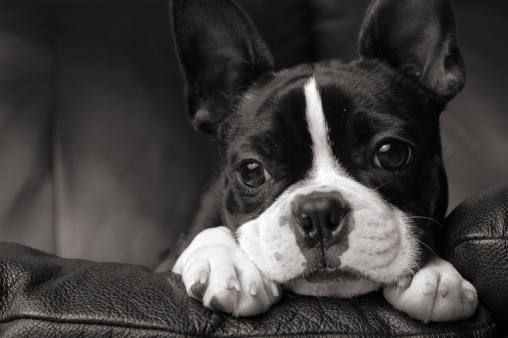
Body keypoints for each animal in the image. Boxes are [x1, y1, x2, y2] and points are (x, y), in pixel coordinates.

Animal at [157, 0, 478, 322]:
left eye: (391, 153)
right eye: (251, 171)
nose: (318, 211)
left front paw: (437, 274)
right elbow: (210, 232)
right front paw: (228, 263)